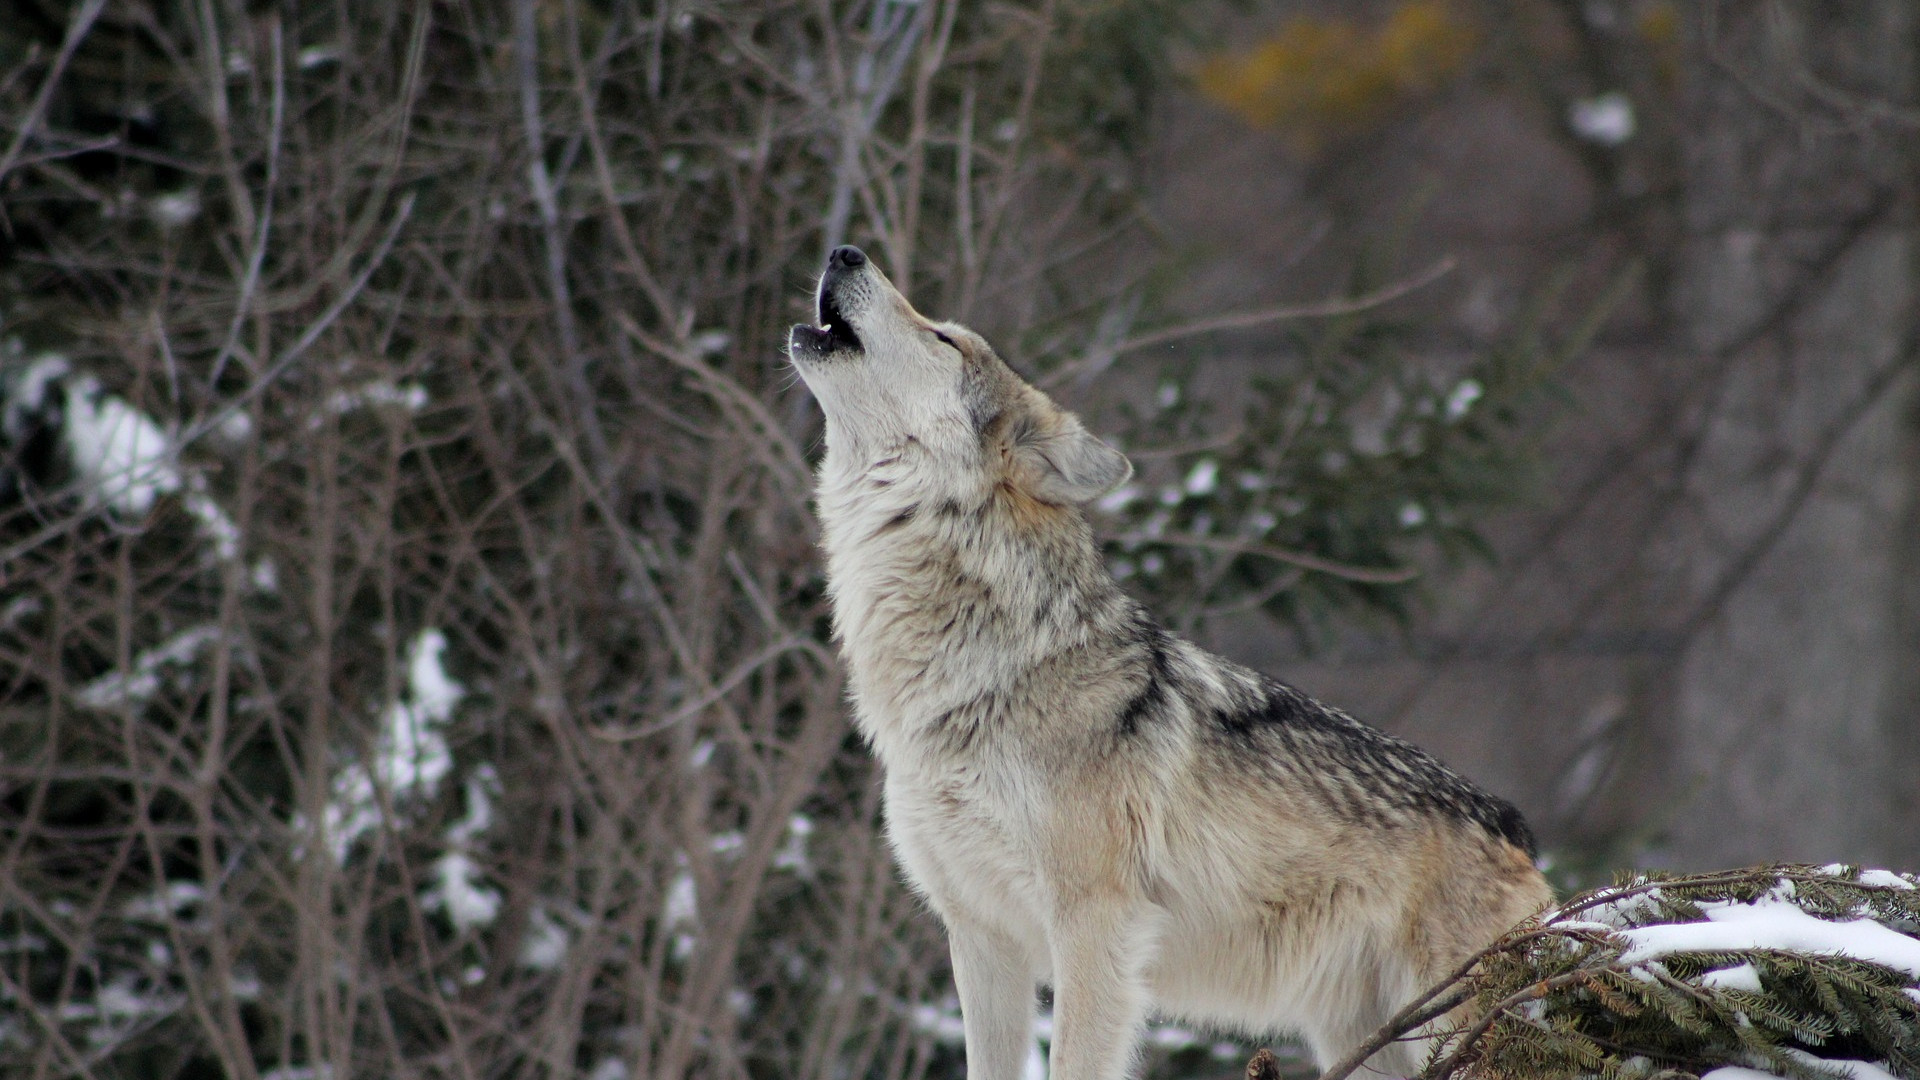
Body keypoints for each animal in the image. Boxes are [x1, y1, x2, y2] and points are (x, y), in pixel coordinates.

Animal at [787, 245, 1552, 1080]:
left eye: (943, 337)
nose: (844, 251)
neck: (980, 670)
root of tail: (1519, 830)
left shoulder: (1094, 927)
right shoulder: (981, 940)